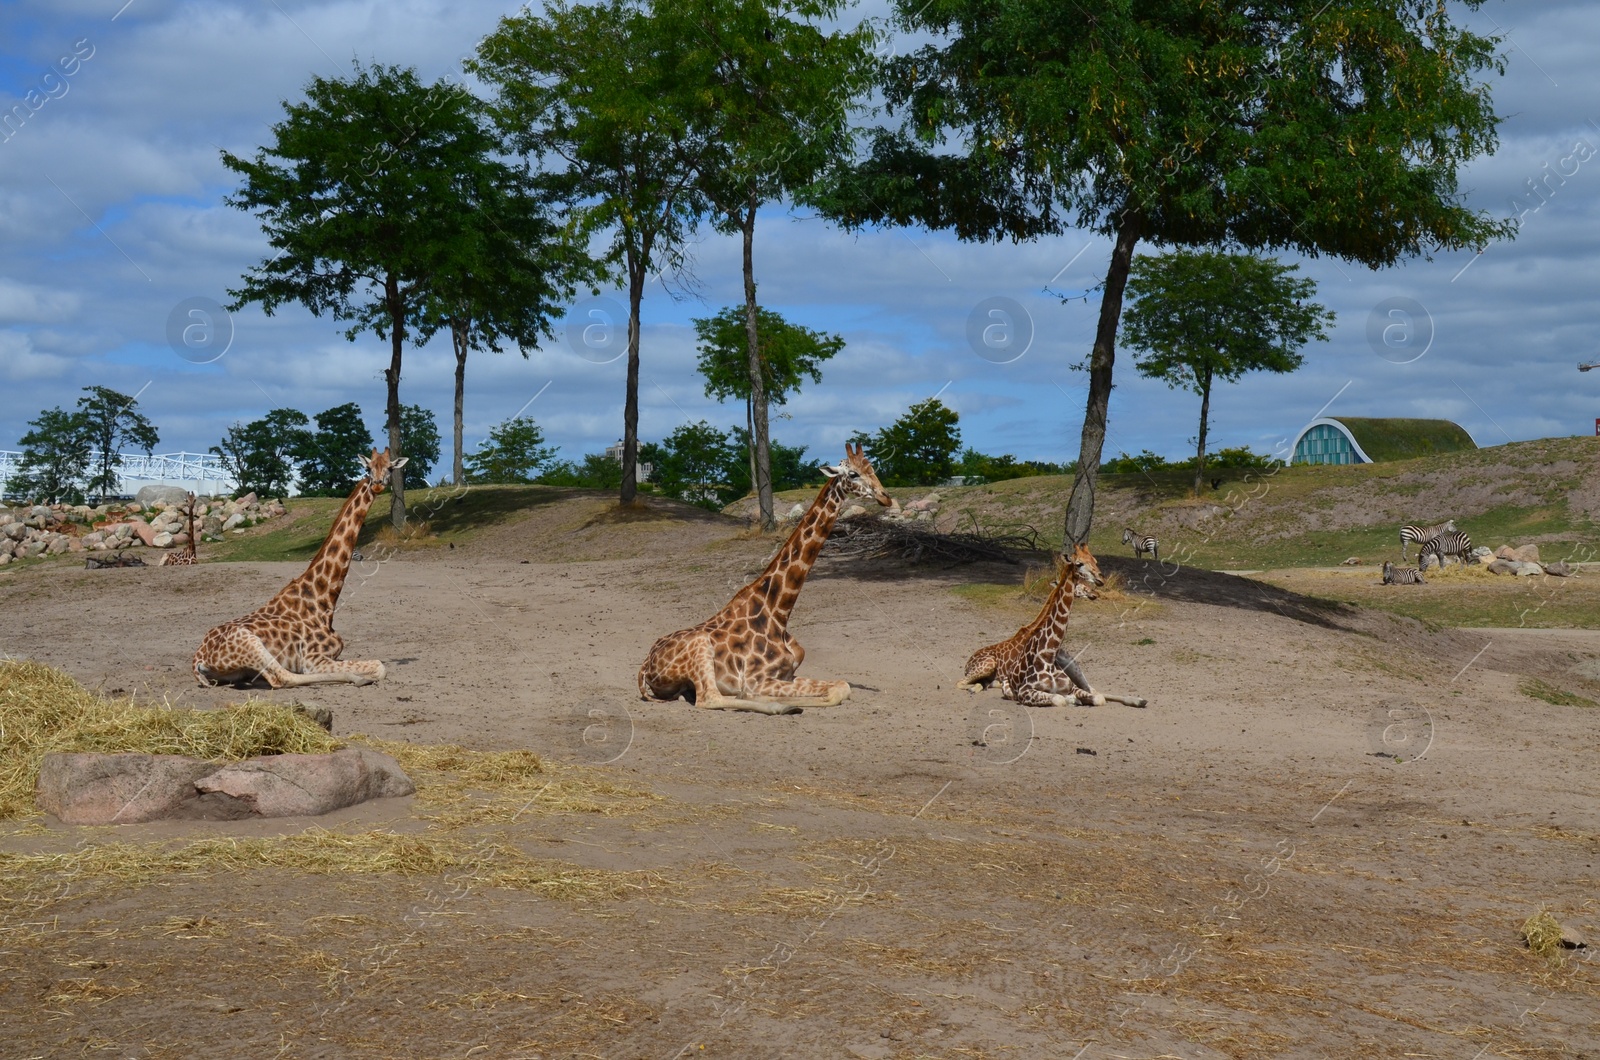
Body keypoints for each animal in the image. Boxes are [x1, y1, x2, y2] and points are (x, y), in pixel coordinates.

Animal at [192, 448, 406, 688]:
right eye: (368, 468)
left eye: (390, 468)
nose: (377, 484)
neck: (323, 600)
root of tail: (198, 659)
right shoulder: (313, 659)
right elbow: (380, 666)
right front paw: (362, 676)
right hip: (250, 643)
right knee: (281, 678)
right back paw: (356, 679)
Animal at [633, 438, 889, 714]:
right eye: (853, 474)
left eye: (872, 468)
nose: (885, 497)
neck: (779, 611)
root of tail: (646, 663)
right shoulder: (758, 679)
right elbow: (836, 690)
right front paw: (783, 702)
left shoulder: (788, 674)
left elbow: (841, 685)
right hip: (700, 648)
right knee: (709, 699)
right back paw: (781, 706)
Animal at [966, 544, 1145, 710]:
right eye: (1079, 563)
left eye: (1095, 560)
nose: (1100, 580)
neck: (1049, 654)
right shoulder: (1023, 690)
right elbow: (1060, 699)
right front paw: (1073, 700)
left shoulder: (1071, 686)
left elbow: (1098, 698)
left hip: (1074, 666)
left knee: (1095, 690)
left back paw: (1139, 700)